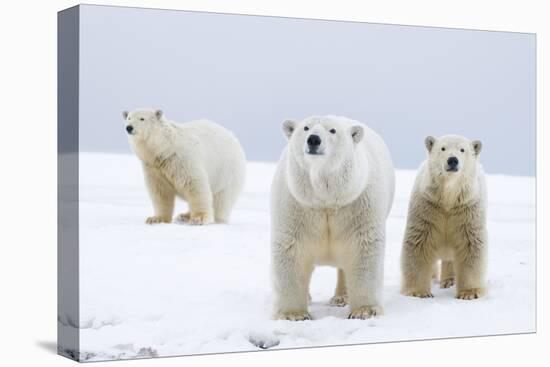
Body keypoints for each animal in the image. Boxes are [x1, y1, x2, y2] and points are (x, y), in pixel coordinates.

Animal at [272, 116, 396, 320]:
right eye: (305, 128)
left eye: (332, 130)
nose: (313, 139)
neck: (326, 201)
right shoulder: (296, 204)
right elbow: (292, 248)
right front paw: (294, 314)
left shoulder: (358, 202)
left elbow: (362, 247)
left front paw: (364, 310)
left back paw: (341, 298)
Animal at [402, 134, 492, 300]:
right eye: (442, 148)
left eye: (462, 149)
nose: (452, 160)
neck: (448, 199)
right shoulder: (428, 207)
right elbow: (419, 244)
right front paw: (419, 292)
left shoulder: (467, 210)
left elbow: (470, 245)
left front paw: (469, 293)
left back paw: (449, 281)